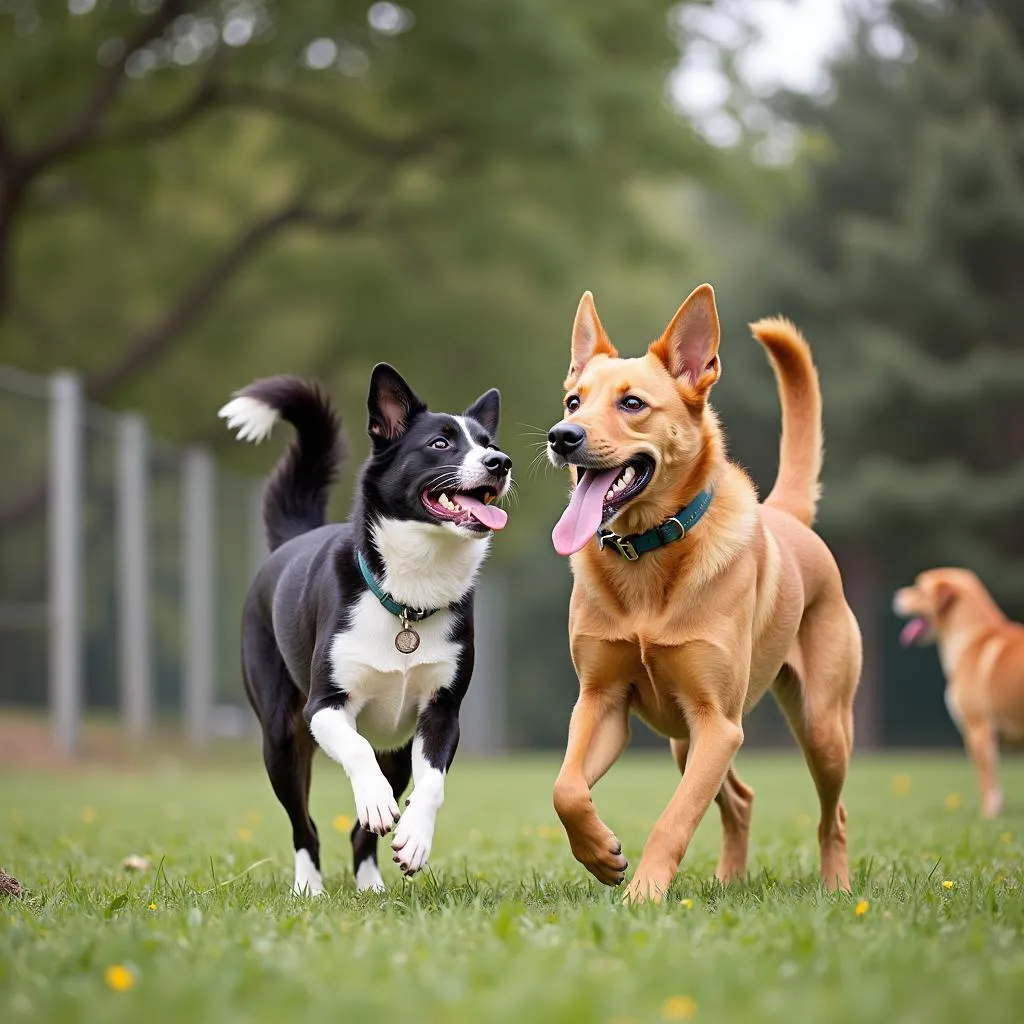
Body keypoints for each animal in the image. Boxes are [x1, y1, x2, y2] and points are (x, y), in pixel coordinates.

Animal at [221, 364, 516, 892]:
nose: (500, 462)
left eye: (488, 442)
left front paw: (415, 837)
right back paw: (308, 886)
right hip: (281, 737)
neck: (409, 599)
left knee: (361, 831)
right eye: (440, 443)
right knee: (305, 825)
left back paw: (370, 885)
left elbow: (432, 784)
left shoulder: (442, 712)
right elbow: (357, 750)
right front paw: (375, 800)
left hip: (395, 750)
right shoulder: (324, 707)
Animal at [548, 284, 860, 901]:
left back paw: (836, 890)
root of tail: (789, 516)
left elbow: (674, 818)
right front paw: (602, 855)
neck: (645, 556)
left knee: (831, 814)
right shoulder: (600, 700)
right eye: (574, 400)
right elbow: (566, 788)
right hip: (681, 739)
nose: (561, 437)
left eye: (632, 404)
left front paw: (643, 895)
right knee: (740, 800)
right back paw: (728, 881)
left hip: (820, 726)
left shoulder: (719, 722)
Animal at [888, 569, 1024, 815]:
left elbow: (988, 782)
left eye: (919, 588)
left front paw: (988, 814)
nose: (896, 595)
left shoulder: (978, 730)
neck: (971, 636)